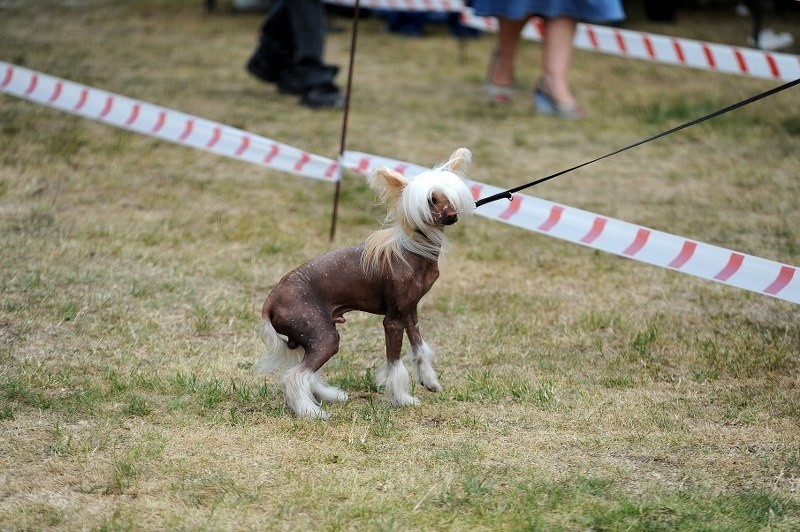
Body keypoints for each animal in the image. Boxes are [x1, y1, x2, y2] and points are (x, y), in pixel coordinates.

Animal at [260, 148, 476, 418]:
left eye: (448, 197)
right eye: (430, 200)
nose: (452, 215)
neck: (414, 249)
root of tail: (270, 302)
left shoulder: (410, 311)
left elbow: (419, 348)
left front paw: (428, 380)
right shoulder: (393, 320)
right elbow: (394, 363)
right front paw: (402, 399)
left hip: (309, 337)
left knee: (308, 373)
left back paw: (329, 396)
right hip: (322, 335)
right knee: (295, 376)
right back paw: (310, 412)